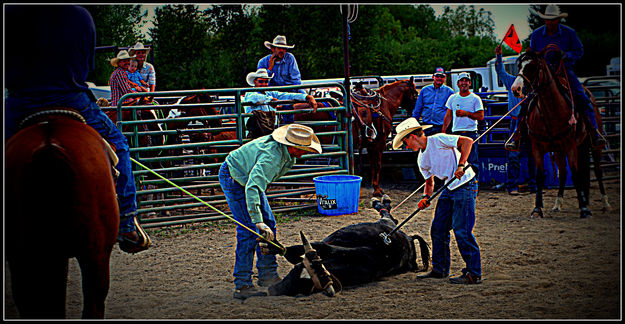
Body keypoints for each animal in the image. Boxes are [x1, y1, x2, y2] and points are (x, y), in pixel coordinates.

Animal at [512, 49, 596, 219]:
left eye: (532, 66)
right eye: (519, 65)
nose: (515, 89)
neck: (552, 111)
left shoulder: (571, 146)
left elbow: (575, 174)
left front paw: (584, 209)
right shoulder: (537, 147)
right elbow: (539, 176)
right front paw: (537, 209)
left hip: (584, 146)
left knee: (583, 172)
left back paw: (589, 202)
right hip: (558, 151)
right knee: (563, 172)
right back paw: (558, 204)